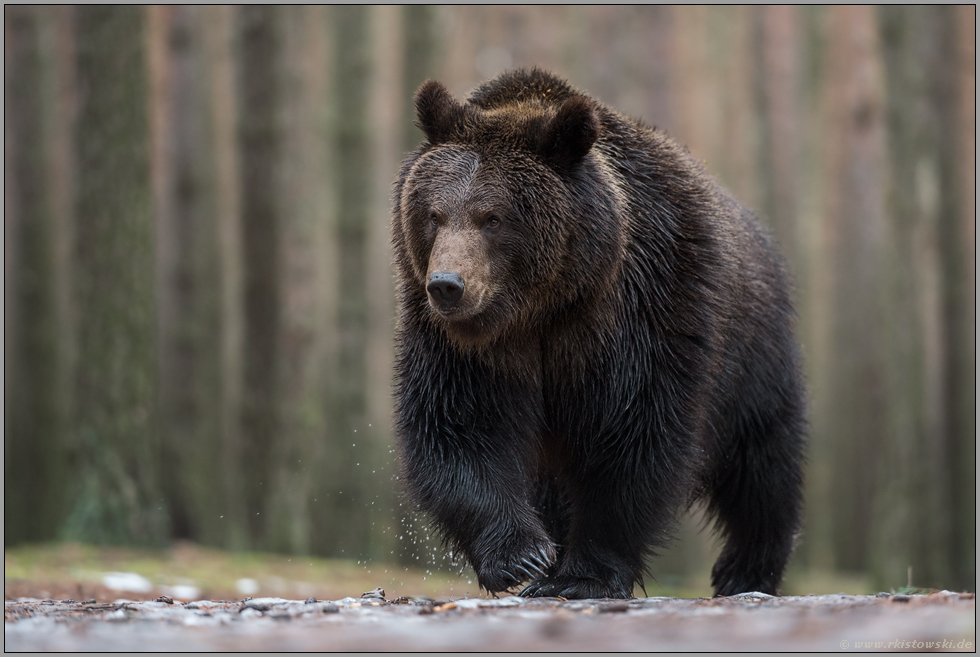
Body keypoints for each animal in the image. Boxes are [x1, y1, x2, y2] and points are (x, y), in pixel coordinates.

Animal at [390, 68, 806, 599]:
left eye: (493, 218)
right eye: (434, 214)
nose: (447, 285)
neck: (545, 306)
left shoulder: (645, 310)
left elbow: (633, 438)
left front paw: (581, 575)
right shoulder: (464, 346)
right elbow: (460, 424)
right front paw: (523, 557)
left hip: (753, 353)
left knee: (762, 462)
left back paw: (745, 569)